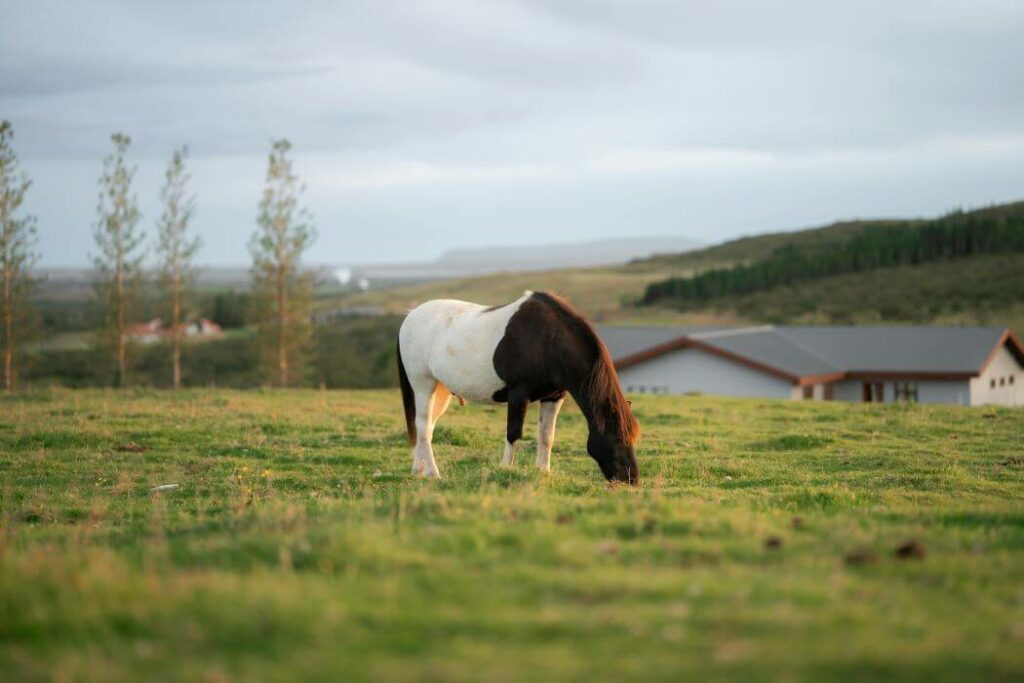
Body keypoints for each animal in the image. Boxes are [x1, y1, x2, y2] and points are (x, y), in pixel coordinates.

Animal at [393, 290, 638, 483]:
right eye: (617, 438)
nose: (632, 480)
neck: (547, 340)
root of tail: (409, 316)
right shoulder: (518, 393)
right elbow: (513, 434)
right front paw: (506, 469)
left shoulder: (554, 396)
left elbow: (546, 436)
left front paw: (543, 471)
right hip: (423, 385)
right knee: (423, 426)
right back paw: (433, 473)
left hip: (441, 391)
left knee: (426, 427)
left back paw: (419, 470)